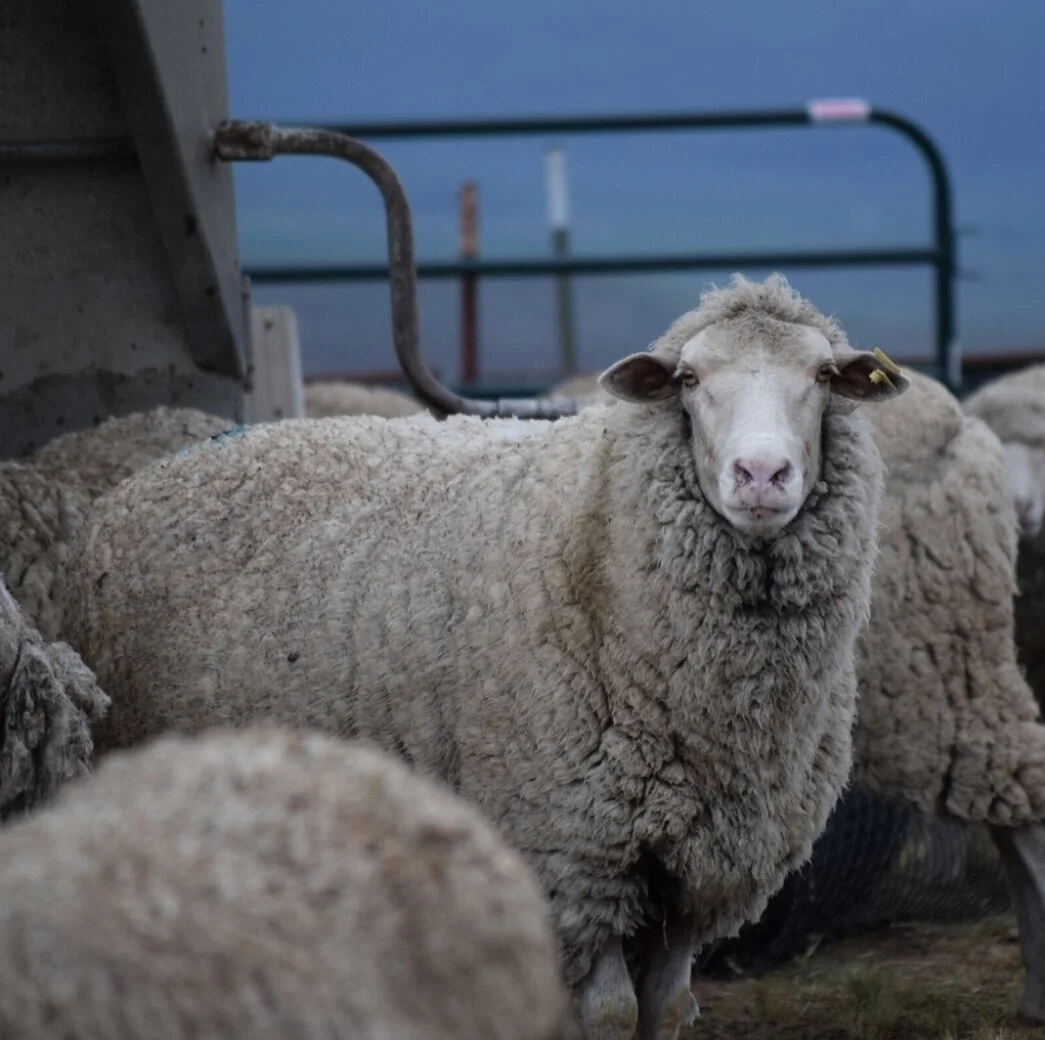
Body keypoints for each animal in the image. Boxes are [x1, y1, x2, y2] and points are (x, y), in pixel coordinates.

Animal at [61, 273, 910, 1040]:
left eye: (821, 377)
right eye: (690, 380)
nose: (761, 475)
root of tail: (154, 470)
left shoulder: (704, 868)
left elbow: (665, 1012)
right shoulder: (573, 851)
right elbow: (609, 1015)